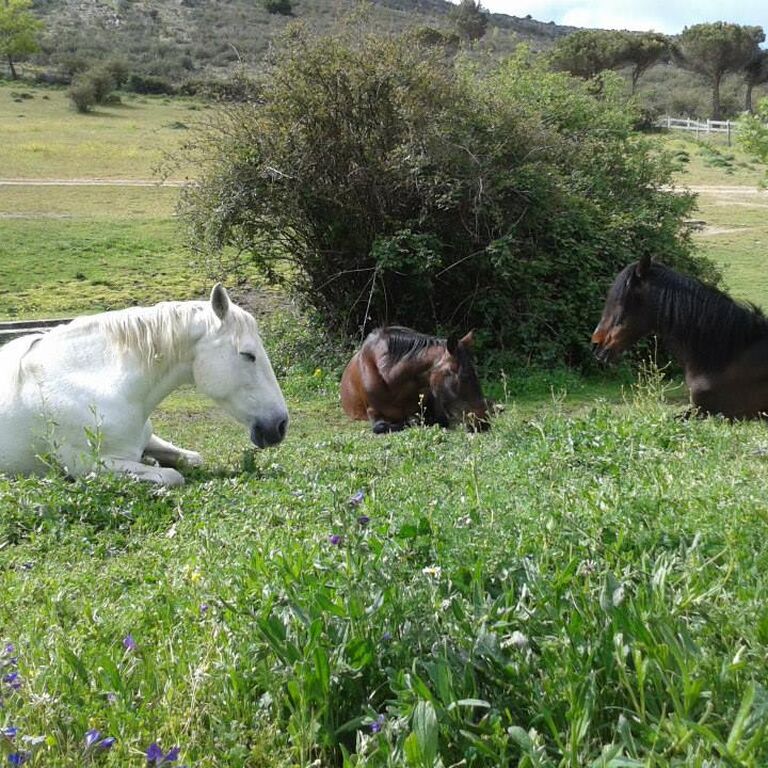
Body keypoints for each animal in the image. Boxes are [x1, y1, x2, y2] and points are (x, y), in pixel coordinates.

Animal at [0, 285, 288, 486]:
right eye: (248, 354)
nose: (280, 425)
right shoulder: (88, 465)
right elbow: (173, 476)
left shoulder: (148, 438)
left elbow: (192, 458)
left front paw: (152, 459)